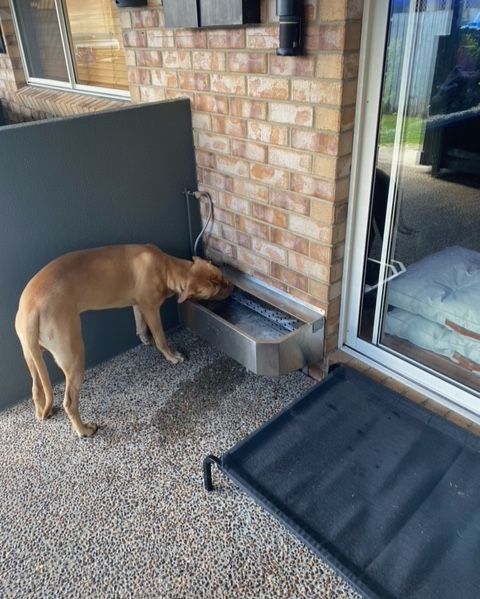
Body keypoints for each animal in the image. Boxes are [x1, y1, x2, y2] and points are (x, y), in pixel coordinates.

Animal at [15, 246, 232, 438]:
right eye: (214, 290)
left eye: (220, 276)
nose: (232, 287)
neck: (167, 267)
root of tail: (31, 306)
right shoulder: (151, 308)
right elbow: (160, 337)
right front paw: (171, 356)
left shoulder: (139, 304)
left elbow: (140, 324)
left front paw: (145, 338)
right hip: (73, 356)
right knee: (69, 402)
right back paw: (84, 430)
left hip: (31, 353)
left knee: (36, 387)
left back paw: (43, 411)